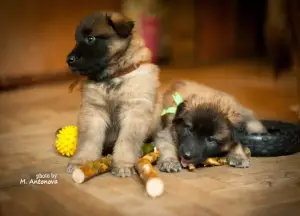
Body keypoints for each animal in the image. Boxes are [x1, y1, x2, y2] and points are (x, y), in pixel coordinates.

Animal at [65, 11, 162, 177]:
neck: (114, 75)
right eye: (77, 40)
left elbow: (126, 142)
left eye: (90, 39)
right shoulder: (94, 111)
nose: (68, 60)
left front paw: (123, 164)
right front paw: (82, 161)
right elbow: (88, 140)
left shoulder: (133, 112)